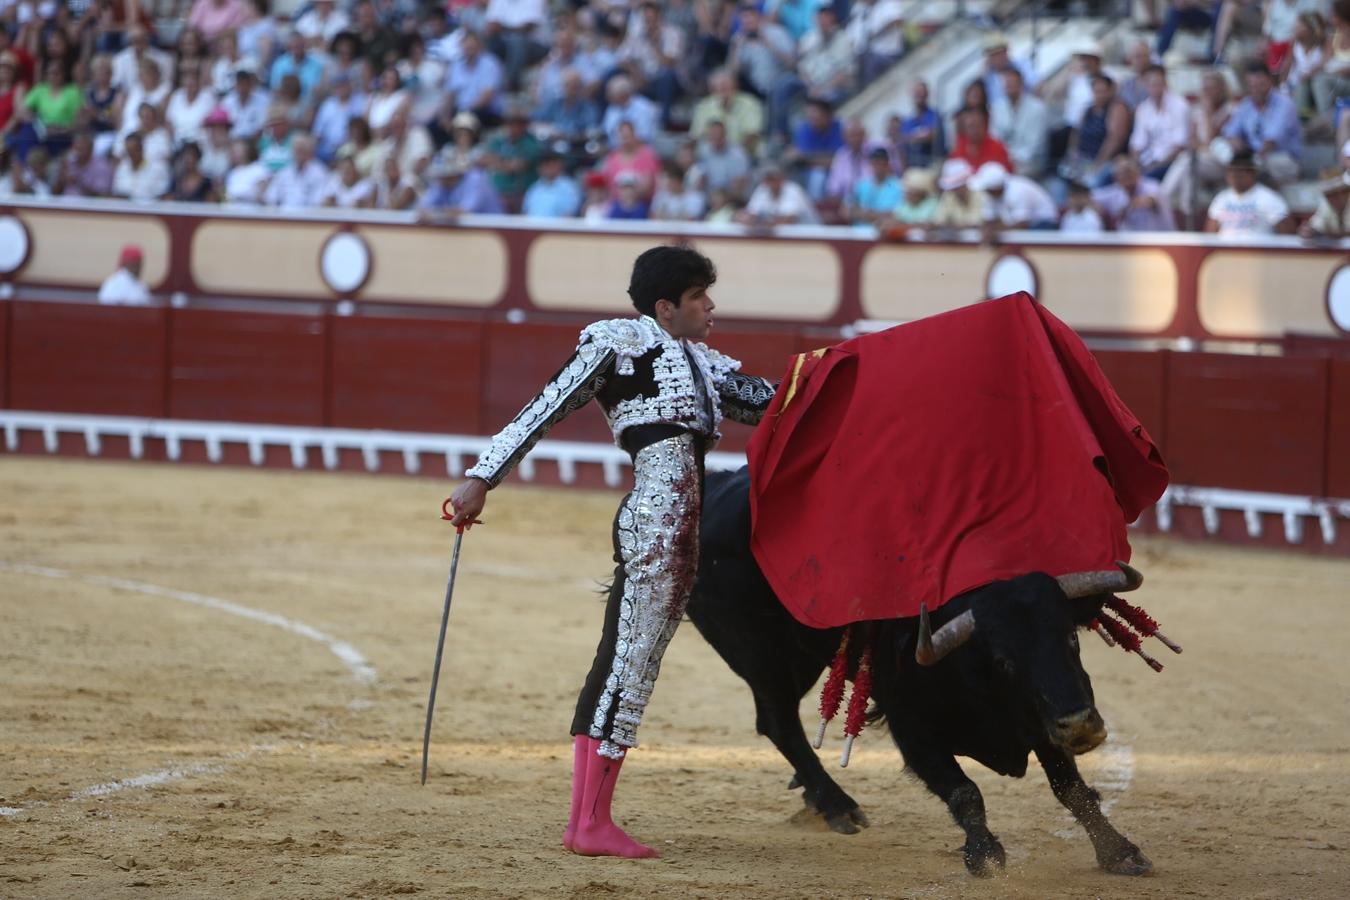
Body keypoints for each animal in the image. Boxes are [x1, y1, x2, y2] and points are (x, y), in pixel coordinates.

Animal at [691, 469, 1155, 874]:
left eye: (1071, 638)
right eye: (1004, 660)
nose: (1080, 725)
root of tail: (714, 489)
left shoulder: (1040, 716)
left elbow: (1071, 788)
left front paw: (1119, 852)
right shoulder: (912, 730)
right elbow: (965, 792)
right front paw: (985, 856)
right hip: (766, 659)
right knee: (780, 722)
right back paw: (838, 805)